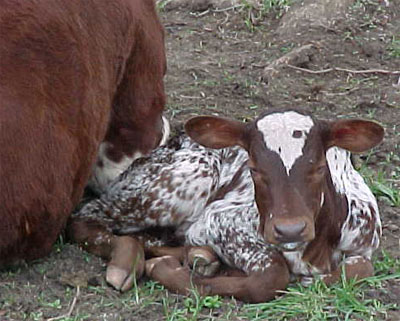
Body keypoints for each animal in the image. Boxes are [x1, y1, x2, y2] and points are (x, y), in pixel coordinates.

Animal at [70, 109, 382, 302]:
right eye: (254, 168)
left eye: (319, 167)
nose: (290, 230)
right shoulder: (219, 221)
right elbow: (270, 277)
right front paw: (166, 269)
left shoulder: (365, 242)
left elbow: (361, 269)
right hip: (192, 172)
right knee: (86, 217)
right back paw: (126, 264)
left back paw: (199, 256)